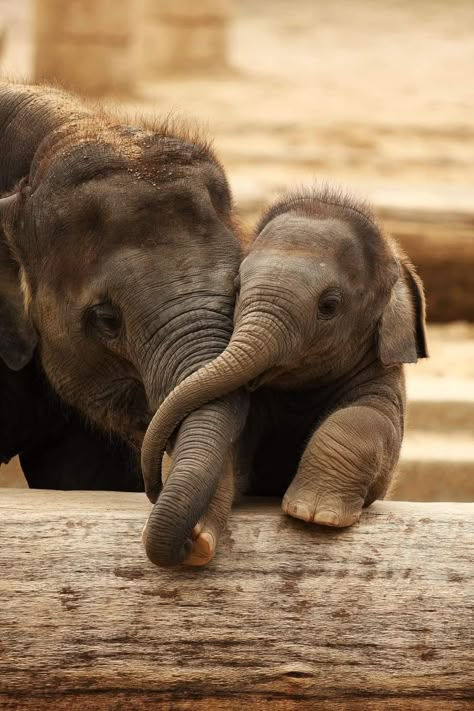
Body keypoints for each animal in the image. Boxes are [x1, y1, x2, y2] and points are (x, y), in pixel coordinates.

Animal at [143, 186, 428, 564]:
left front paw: (314, 514)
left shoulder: (384, 378)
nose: (153, 488)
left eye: (329, 305)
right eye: (236, 288)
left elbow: (366, 420)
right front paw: (198, 540)